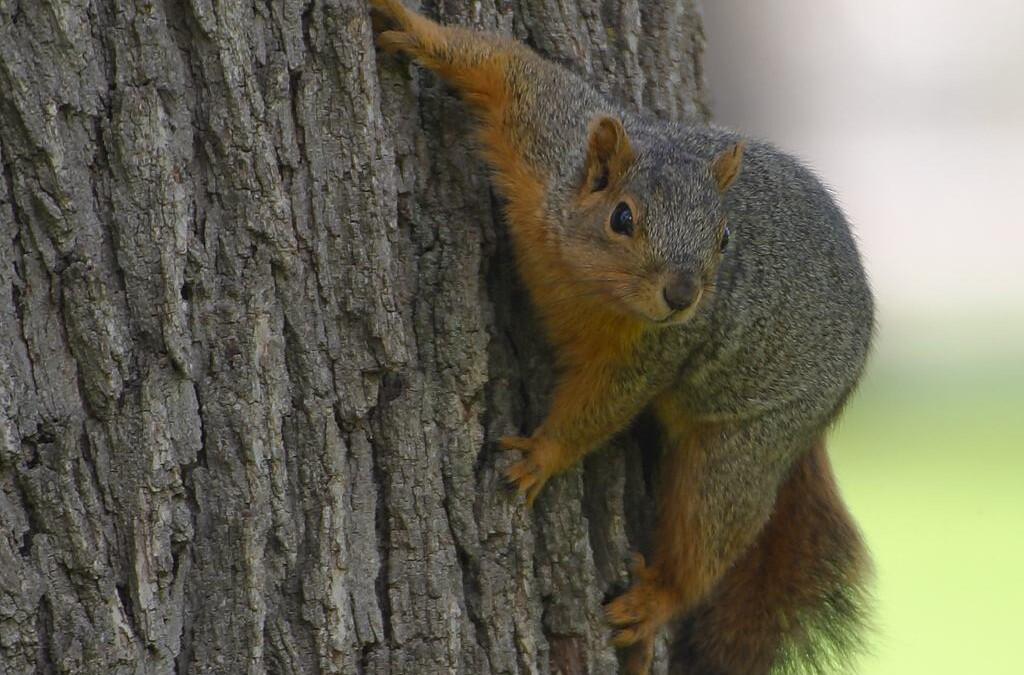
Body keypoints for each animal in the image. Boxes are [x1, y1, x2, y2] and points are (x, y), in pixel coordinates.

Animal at [368, 2, 872, 671]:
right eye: (622, 217)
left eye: (724, 238)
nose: (682, 296)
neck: (583, 280)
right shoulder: (548, 135)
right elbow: (507, 68)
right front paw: (413, 28)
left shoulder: (656, 350)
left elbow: (604, 406)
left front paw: (542, 455)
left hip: (746, 443)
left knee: (713, 532)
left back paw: (654, 603)